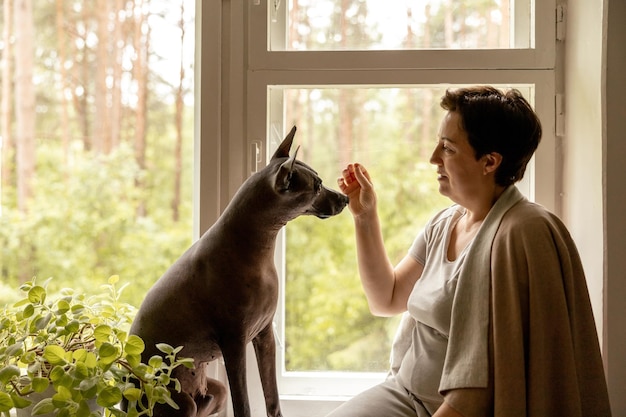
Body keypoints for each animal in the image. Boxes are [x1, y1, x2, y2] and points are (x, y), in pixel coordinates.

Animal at [127, 127, 348, 416]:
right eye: (317, 186)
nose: (345, 198)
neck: (254, 249)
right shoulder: (234, 345)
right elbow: (243, 404)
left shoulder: (264, 336)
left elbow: (272, 398)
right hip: (178, 402)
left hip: (214, 395)